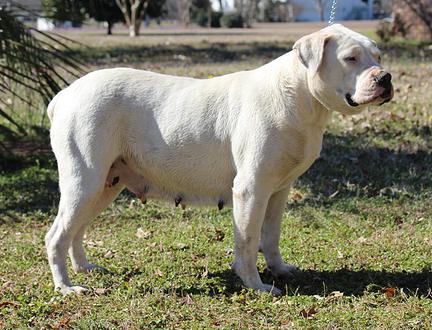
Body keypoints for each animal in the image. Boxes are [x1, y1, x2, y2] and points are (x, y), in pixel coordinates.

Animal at [45, 24, 394, 296]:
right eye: (350, 58)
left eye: (378, 57)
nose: (385, 78)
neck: (299, 95)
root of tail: (64, 96)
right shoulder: (251, 190)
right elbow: (248, 242)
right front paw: (257, 286)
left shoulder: (278, 191)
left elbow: (271, 236)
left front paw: (280, 269)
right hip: (85, 182)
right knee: (57, 236)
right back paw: (66, 287)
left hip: (104, 185)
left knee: (76, 231)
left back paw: (85, 268)